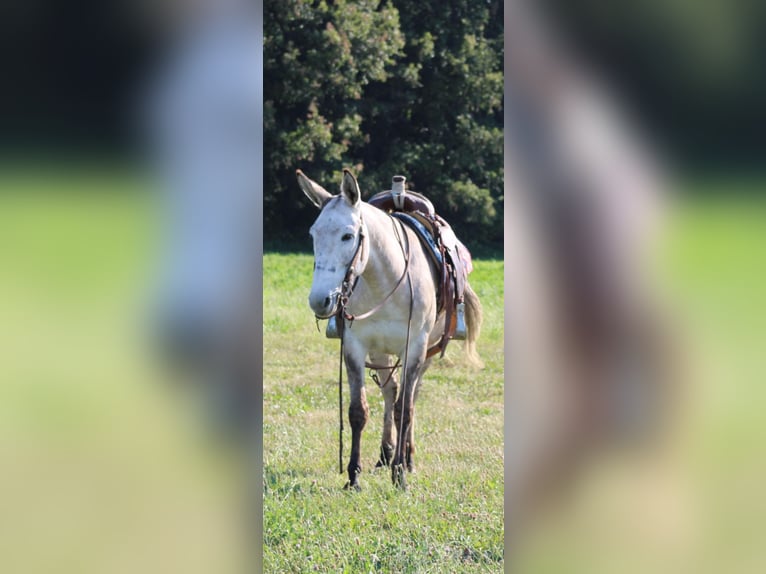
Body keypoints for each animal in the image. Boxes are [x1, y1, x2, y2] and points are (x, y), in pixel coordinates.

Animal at [297, 168, 483, 490]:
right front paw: (353, 477)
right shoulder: (356, 347)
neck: (385, 281)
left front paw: (400, 476)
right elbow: (358, 411)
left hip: (426, 352)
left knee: (410, 398)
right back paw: (385, 454)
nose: (320, 300)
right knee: (390, 392)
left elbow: (404, 409)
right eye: (313, 234)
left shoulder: (414, 348)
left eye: (348, 235)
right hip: (381, 353)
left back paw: (406, 458)